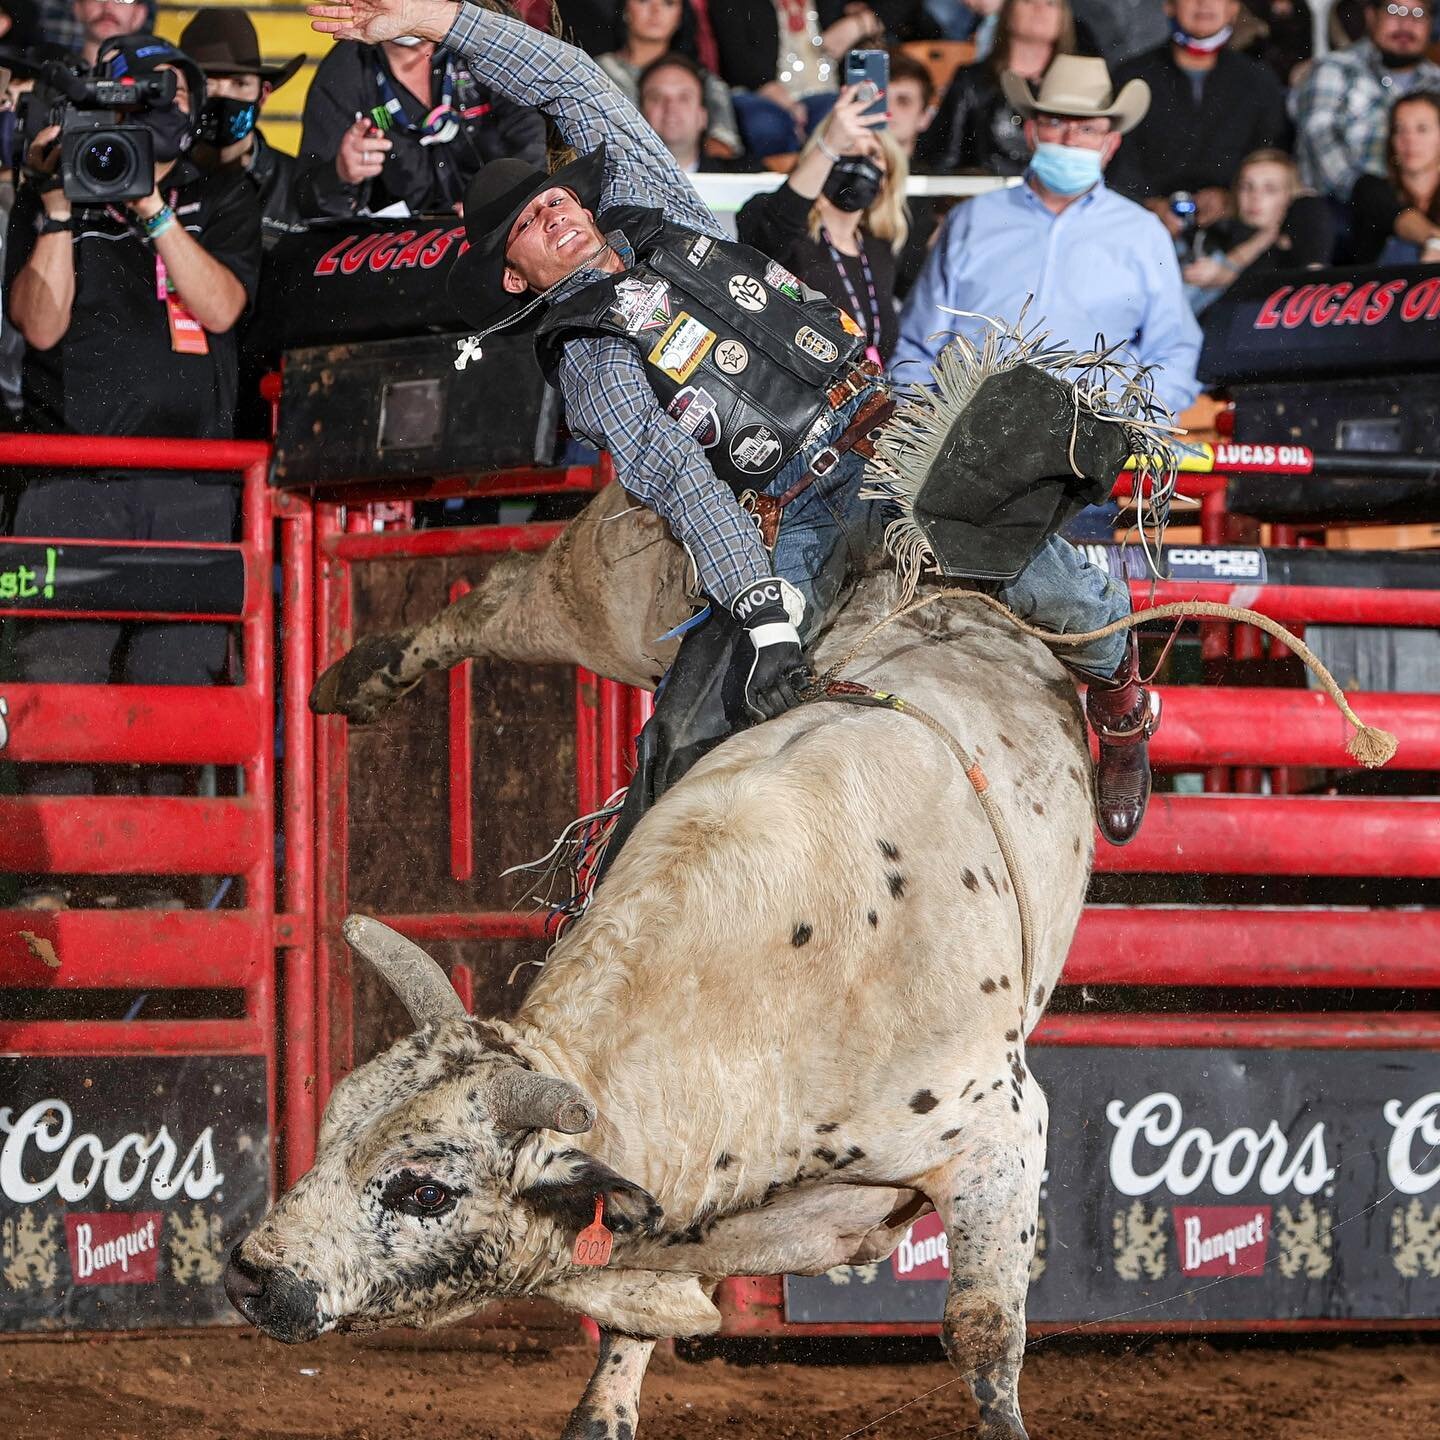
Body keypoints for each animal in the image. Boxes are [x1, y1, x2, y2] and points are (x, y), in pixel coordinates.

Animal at [227, 558, 1088, 1440]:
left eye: (425, 1190)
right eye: (333, 1124)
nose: (255, 1274)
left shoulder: (999, 1134)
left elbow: (982, 1332)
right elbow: (620, 1354)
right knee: (515, 594)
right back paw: (361, 675)